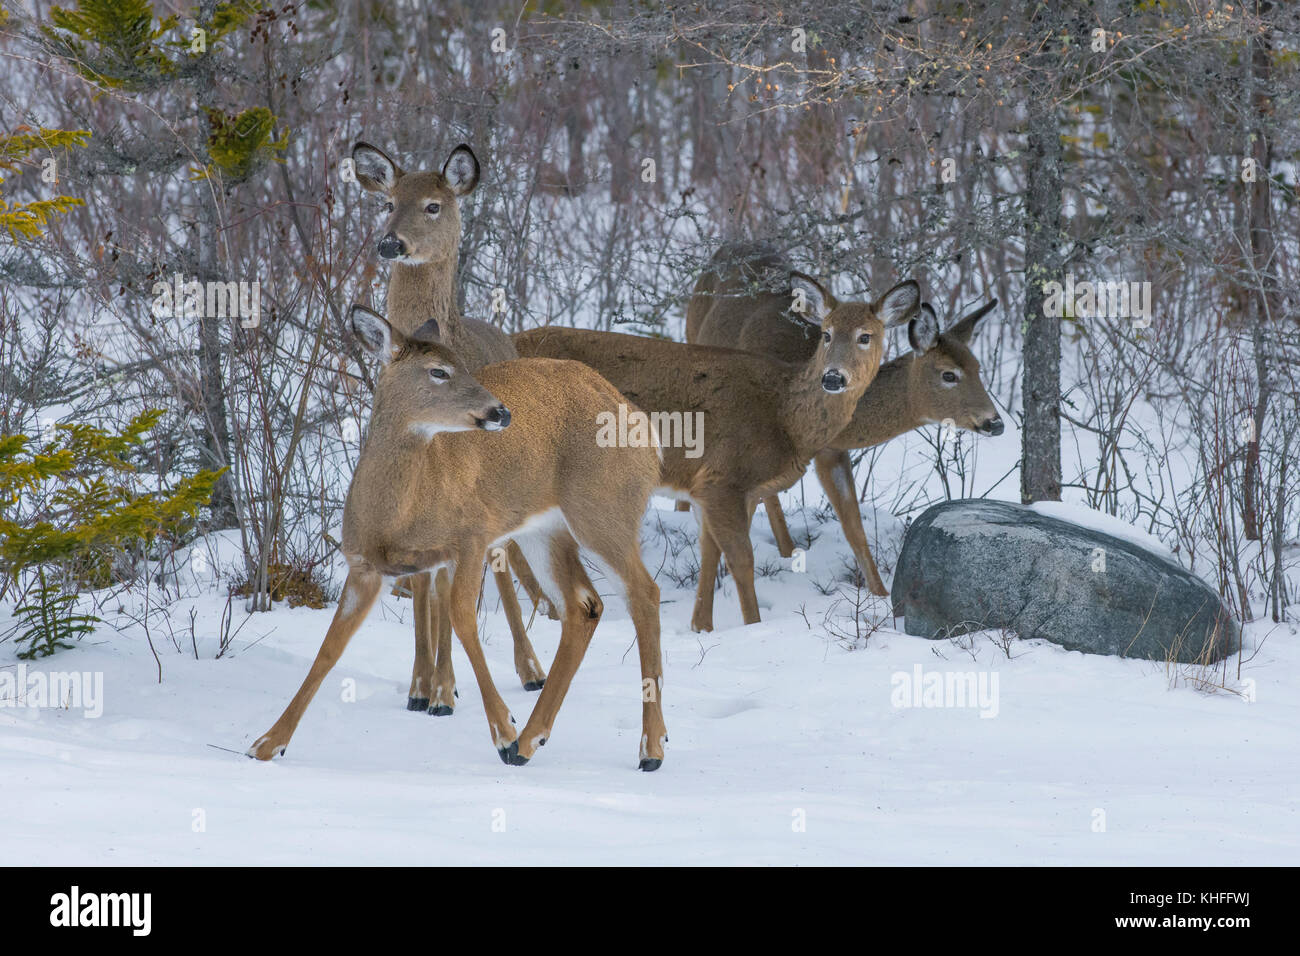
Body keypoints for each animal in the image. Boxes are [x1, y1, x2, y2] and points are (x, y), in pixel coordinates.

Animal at [246, 306, 665, 770]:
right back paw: (533, 740)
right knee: (583, 605)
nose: (501, 412)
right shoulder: (365, 565)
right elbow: (330, 647)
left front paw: (502, 732)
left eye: (464, 365)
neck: (398, 515)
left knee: (644, 593)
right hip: (545, 529)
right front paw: (268, 742)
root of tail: (643, 425)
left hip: (603, 509)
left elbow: (463, 619)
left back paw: (649, 749)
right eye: (439, 371)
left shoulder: (471, 536)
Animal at [351, 140, 553, 712]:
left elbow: (450, 585)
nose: (390, 242)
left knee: (502, 565)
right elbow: (424, 584)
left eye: (434, 205)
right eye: (388, 201)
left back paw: (531, 670)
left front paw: (442, 688)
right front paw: (421, 685)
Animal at [512, 280, 920, 632]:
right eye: (827, 333)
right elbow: (742, 560)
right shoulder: (725, 478)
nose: (833, 377)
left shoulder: (717, 488)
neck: (784, 417)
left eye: (866, 336)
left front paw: (701, 626)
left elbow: (710, 553)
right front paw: (753, 626)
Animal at [691, 243, 1003, 595]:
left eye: (978, 369)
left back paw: (786, 548)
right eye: (949, 375)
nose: (995, 422)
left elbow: (855, 528)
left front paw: (880, 594)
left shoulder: (833, 451)